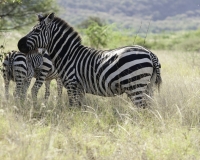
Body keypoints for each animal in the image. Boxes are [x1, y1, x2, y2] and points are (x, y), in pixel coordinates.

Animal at [17, 12, 162, 107]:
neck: (68, 54)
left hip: (135, 86)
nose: (19, 44)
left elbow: (73, 107)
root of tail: (150, 53)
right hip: (148, 87)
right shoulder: (79, 89)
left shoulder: (72, 85)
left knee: (143, 109)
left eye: (36, 30)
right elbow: (80, 109)